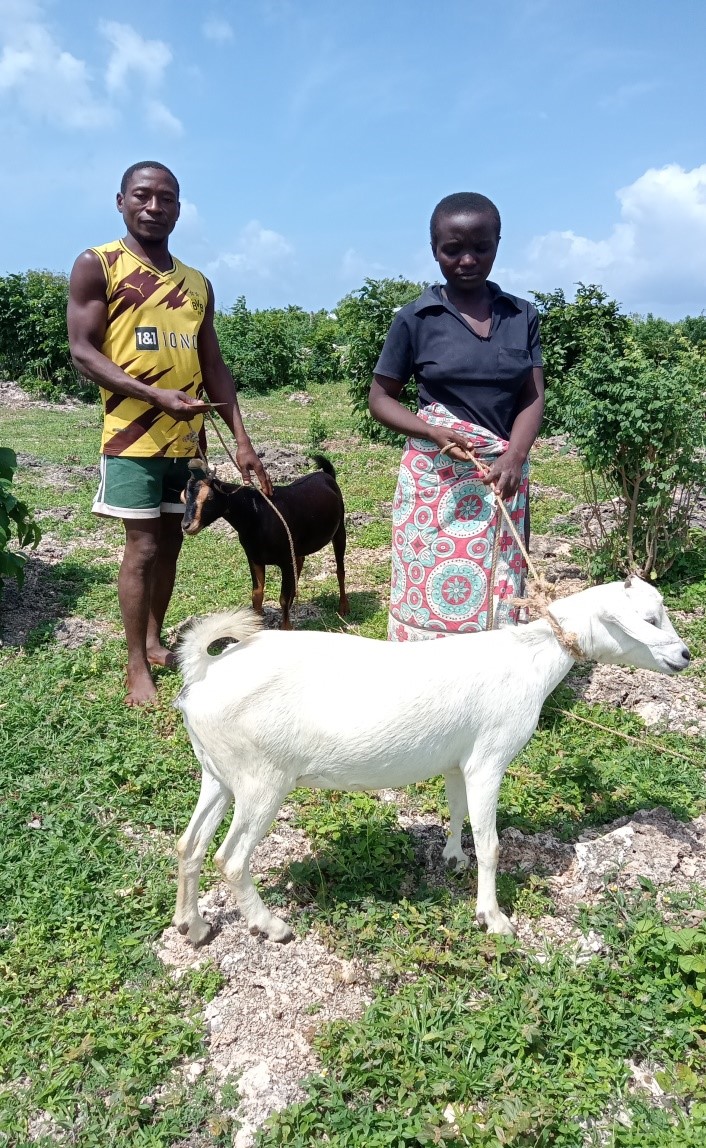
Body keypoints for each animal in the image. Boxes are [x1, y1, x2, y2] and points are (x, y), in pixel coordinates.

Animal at [173, 577, 689, 945]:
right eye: (649, 618)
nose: (685, 655)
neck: (530, 660)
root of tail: (205, 672)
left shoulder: (459, 761)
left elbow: (458, 809)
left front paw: (453, 857)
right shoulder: (489, 759)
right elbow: (492, 843)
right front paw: (493, 918)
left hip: (218, 774)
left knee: (190, 845)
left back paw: (192, 927)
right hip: (262, 780)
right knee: (230, 859)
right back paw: (271, 926)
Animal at [180, 454, 348, 629]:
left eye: (209, 497)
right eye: (184, 497)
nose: (187, 526)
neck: (256, 514)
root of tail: (326, 475)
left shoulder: (286, 561)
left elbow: (282, 598)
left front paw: (286, 627)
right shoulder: (254, 558)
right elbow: (257, 594)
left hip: (339, 530)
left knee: (340, 570)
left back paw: (343, 608)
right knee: (301, 561)